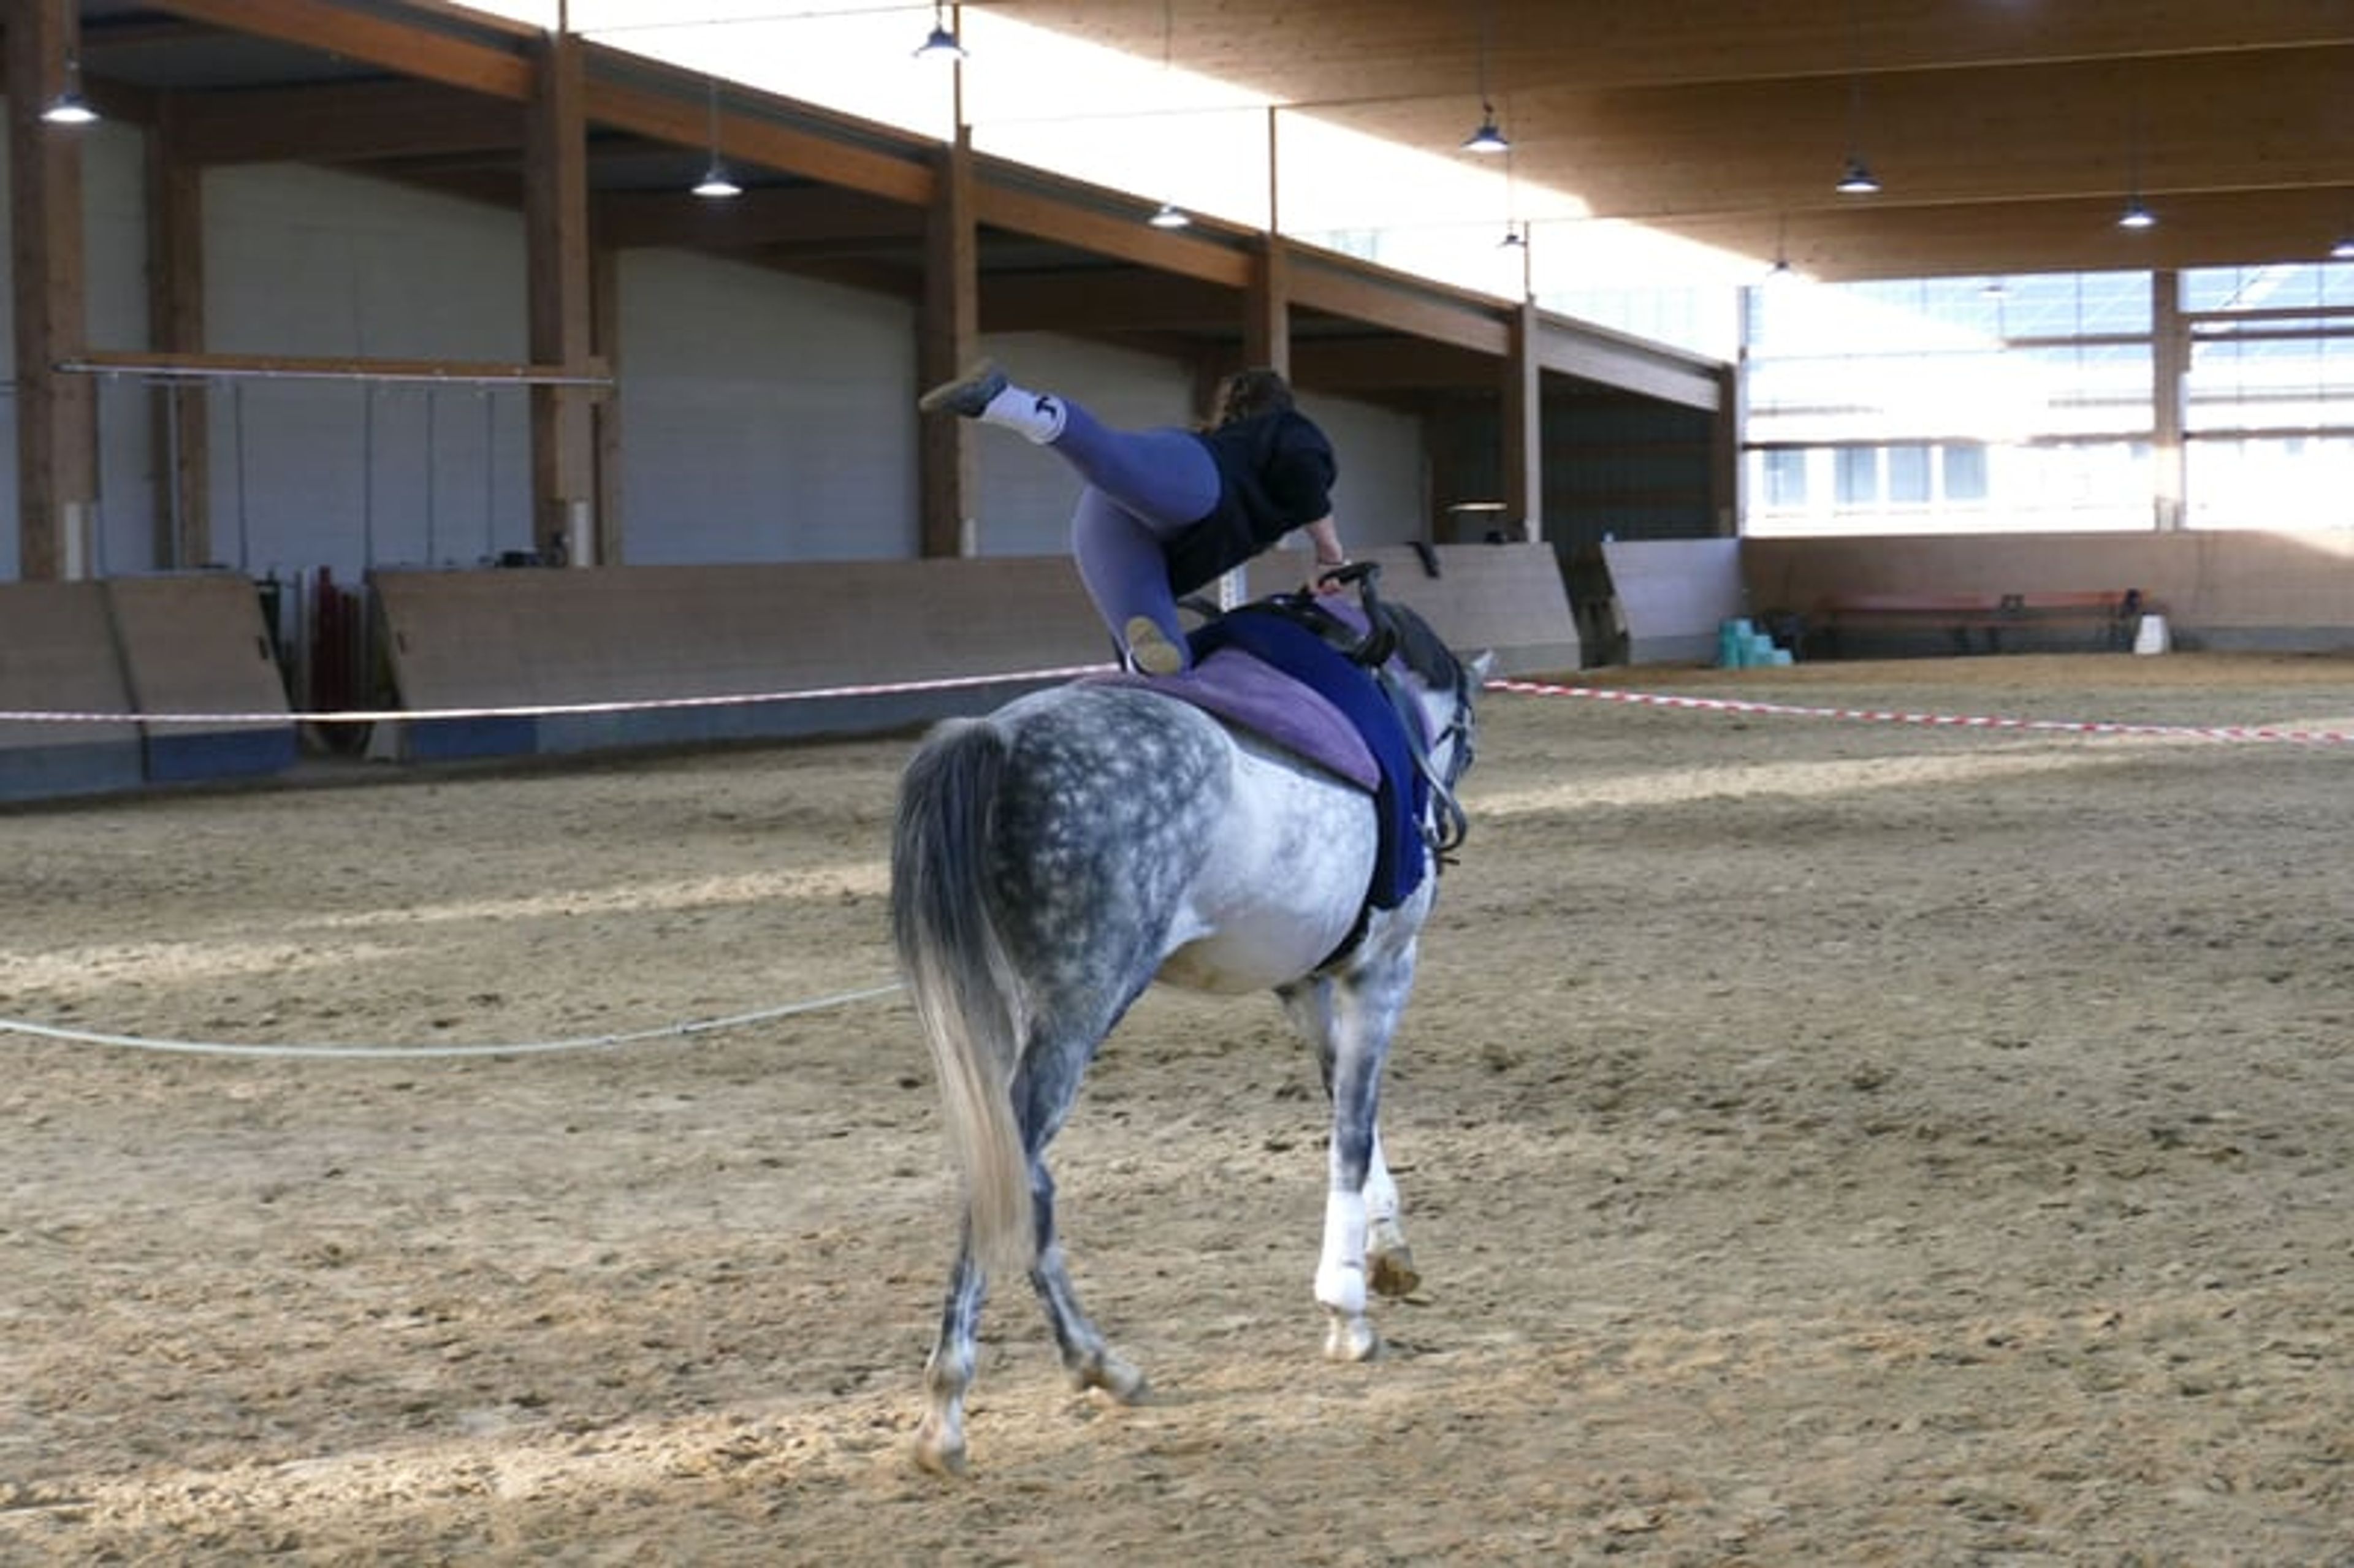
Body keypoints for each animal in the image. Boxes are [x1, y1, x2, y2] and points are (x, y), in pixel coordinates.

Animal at [889, 594, 1488, 1476]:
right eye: (1465, 736)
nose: (1447, 825)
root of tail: (996, 737)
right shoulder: (1383, 970)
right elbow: (1349, 1130)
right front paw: (1346, 1312)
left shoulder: (1304, 986)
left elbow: (1351, 1107)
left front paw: (1388, 1253)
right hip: (1083, 999)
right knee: (1019, 1168)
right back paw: (953, 1407)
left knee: (1013, 1171)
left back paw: (1097, 1364)